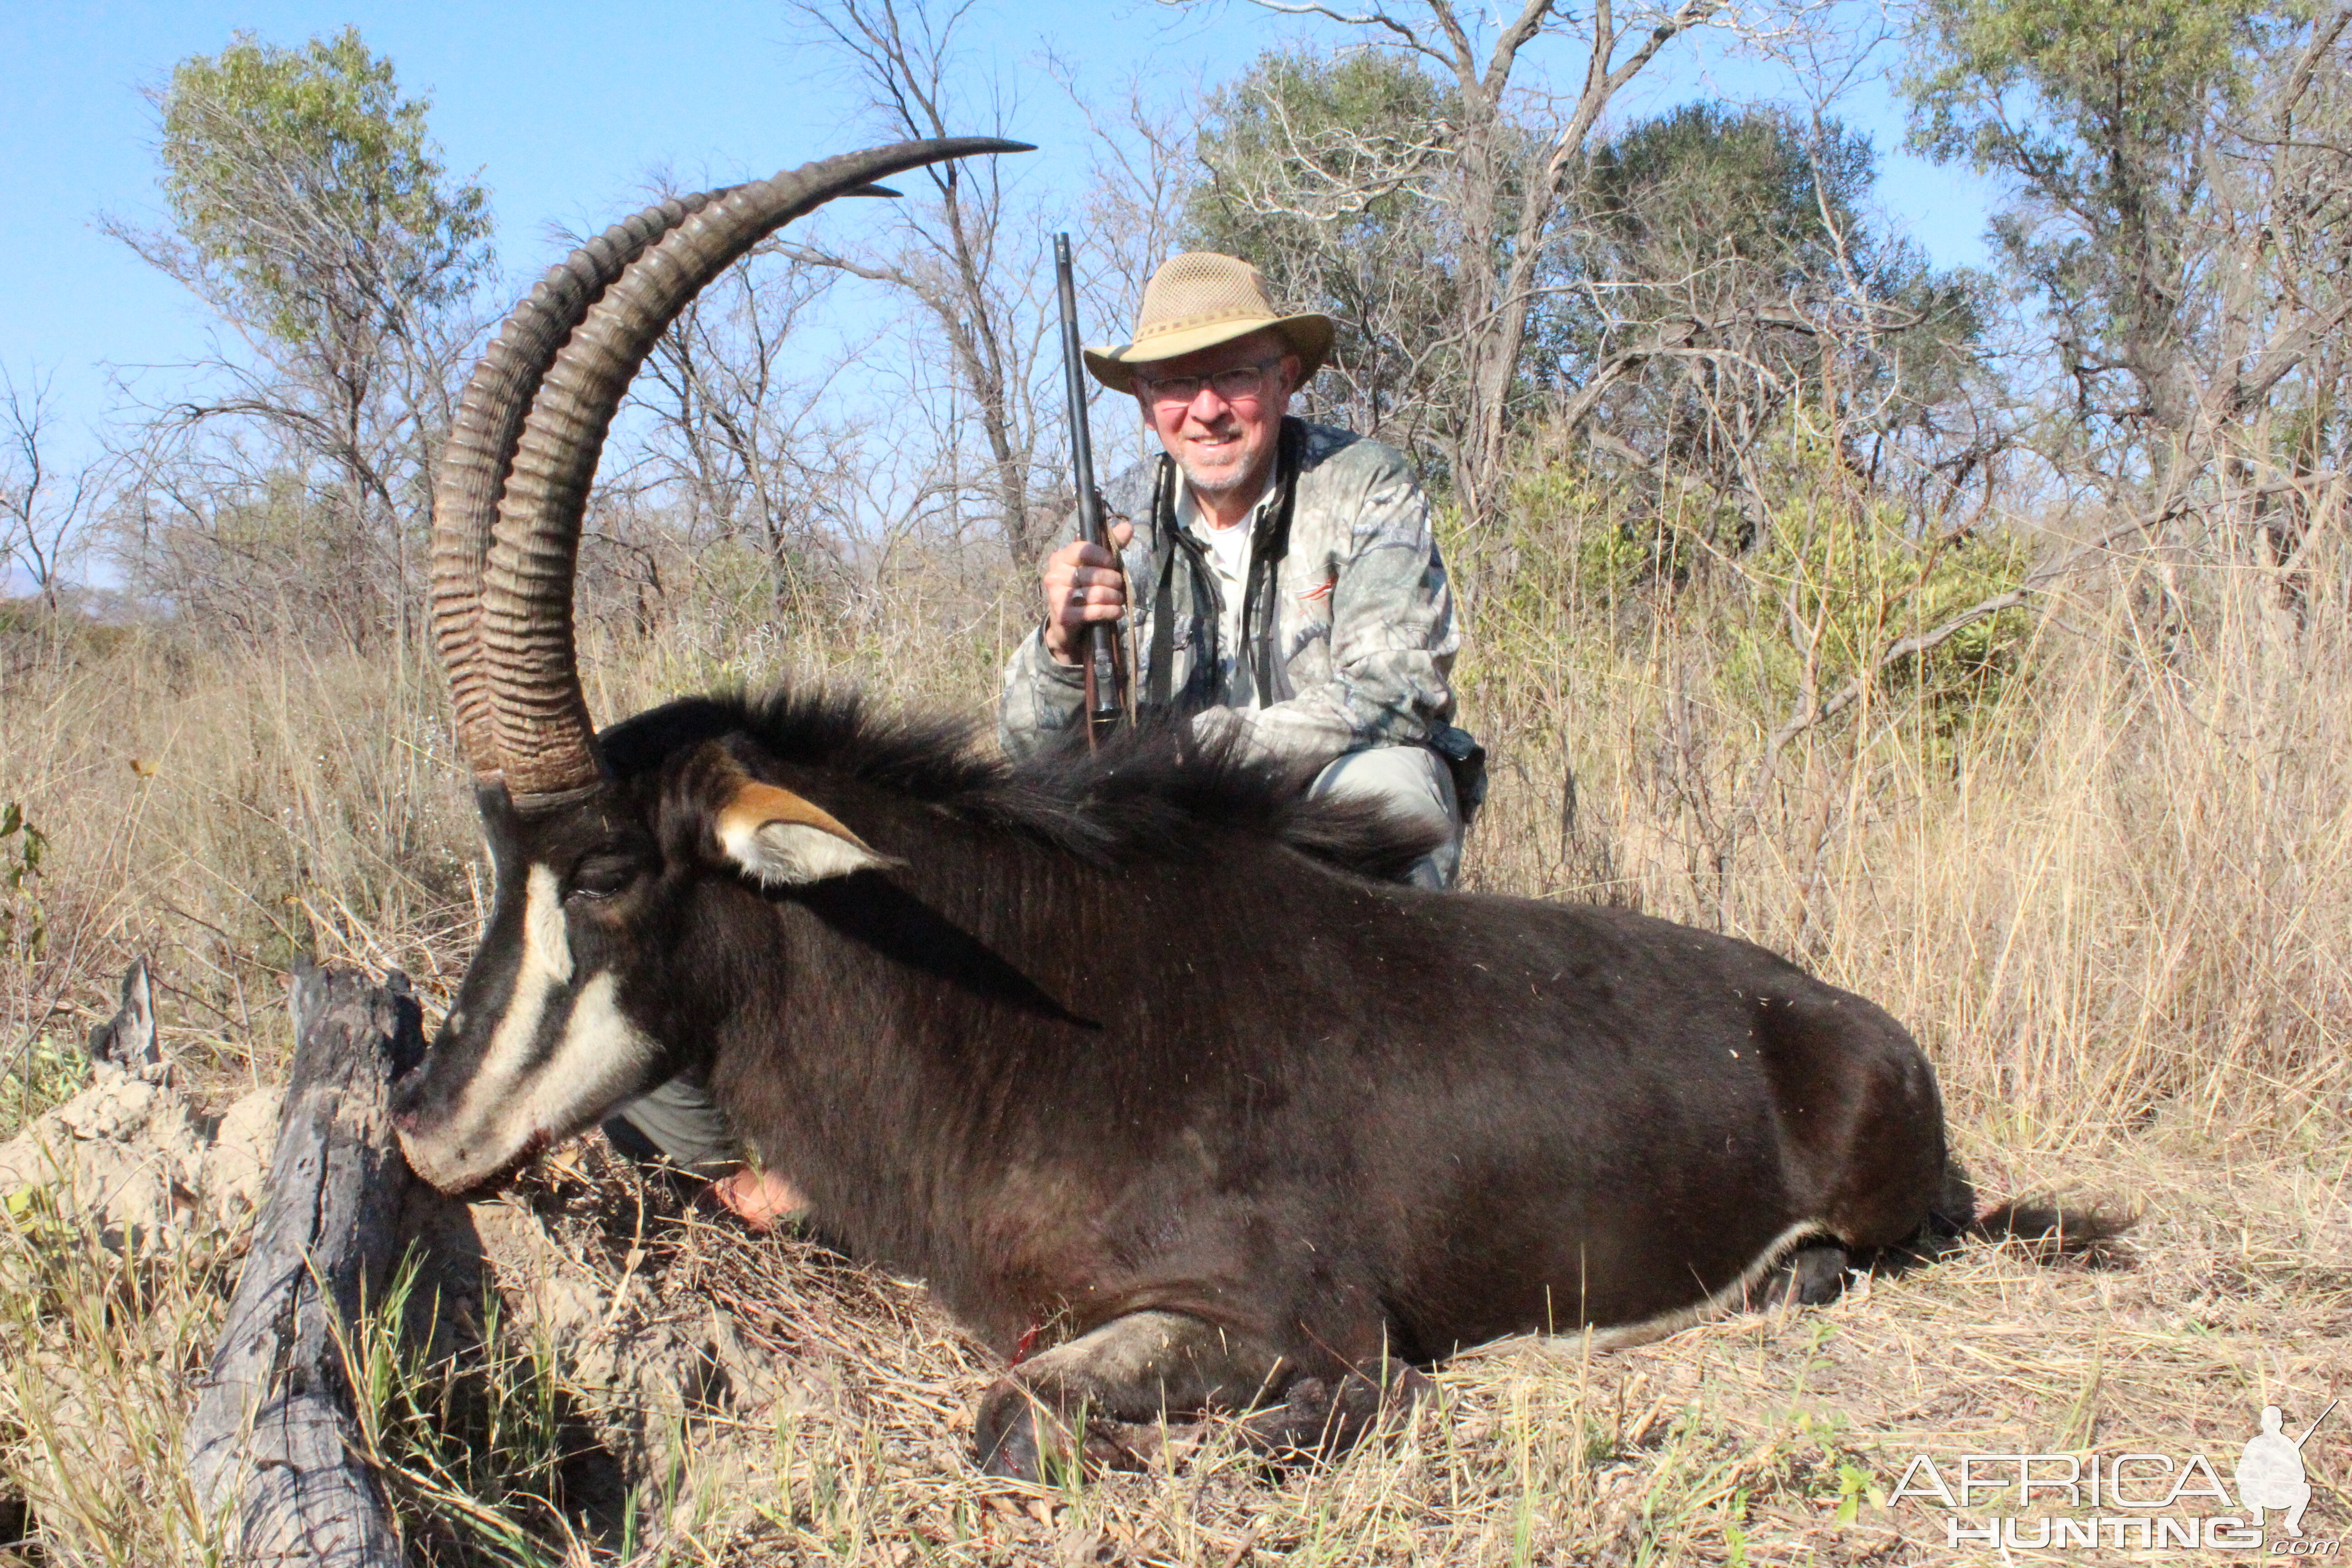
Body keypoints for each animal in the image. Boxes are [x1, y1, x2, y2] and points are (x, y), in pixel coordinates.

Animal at [400, 138, 2098, 1485]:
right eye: (499, 859)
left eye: (605, 871)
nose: (423, 1121)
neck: (1015, 1006)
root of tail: (1846, 1020)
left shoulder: (1285, 1307)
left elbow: (1034, 1418)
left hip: (1875, 1207)